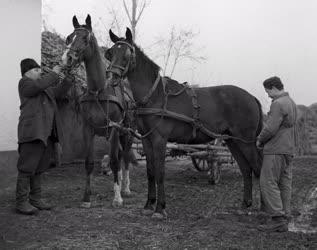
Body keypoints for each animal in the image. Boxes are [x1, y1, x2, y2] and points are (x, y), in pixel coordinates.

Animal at [62, 14, 135, 208]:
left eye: (85, 39)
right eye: (69, 37)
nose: (67, 58)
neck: (98, 91)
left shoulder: (115, 128)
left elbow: (115, 161)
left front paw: (117, 198)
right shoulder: (88, 129)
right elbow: (88, 162)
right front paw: (86, 198)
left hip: (127, 132)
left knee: (125, 156)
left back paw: (125, 188)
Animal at [105, 26, 262, 219]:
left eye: (127, 54)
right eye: (111, 53)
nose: (112, 78)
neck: (155, 96)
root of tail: (251, 97)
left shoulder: (160, 140)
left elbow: (160, 172)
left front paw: (160, 208)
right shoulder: (146, 140)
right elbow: (150, 172)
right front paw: (149, 204)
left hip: (245, 141)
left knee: (258, 168)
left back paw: (265, 207)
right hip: (233, 141)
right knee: (246, 170)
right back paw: (246, 203)